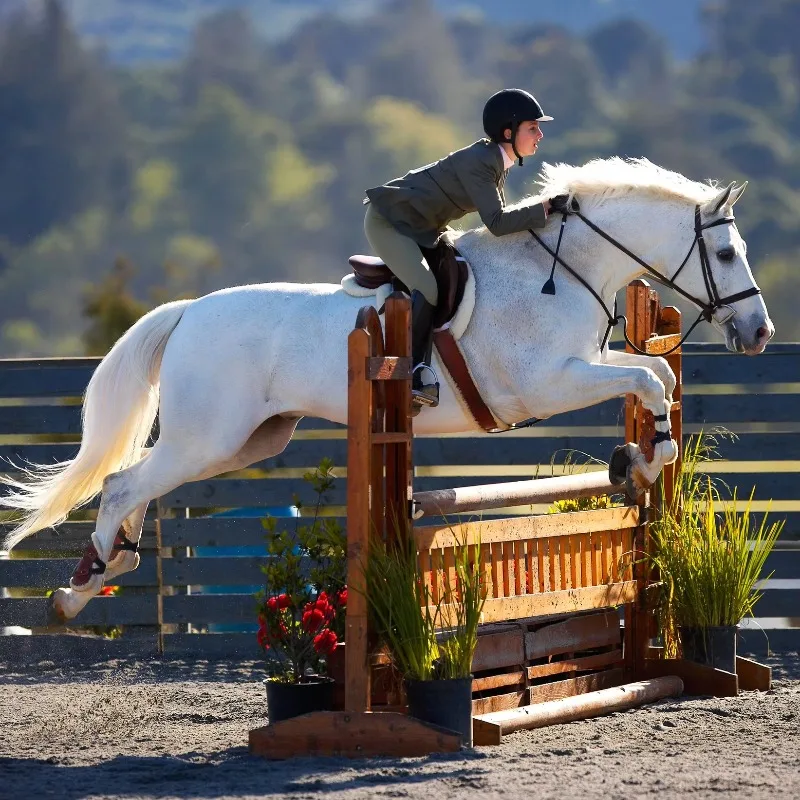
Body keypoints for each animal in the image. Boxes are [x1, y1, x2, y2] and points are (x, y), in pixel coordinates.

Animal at [2, 157, 773, 621]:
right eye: (727, 251)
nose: (760, 333)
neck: (558, 267)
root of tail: (189, 312)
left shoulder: (584, 363)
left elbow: (659, 375)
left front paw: (642, 458)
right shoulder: (547, 383)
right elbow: (646, 376)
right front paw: (639, 458)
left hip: (245, 441)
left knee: (138, 483)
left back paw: (104, 566)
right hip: (209, 436)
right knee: (124, 485)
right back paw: (80, 587)